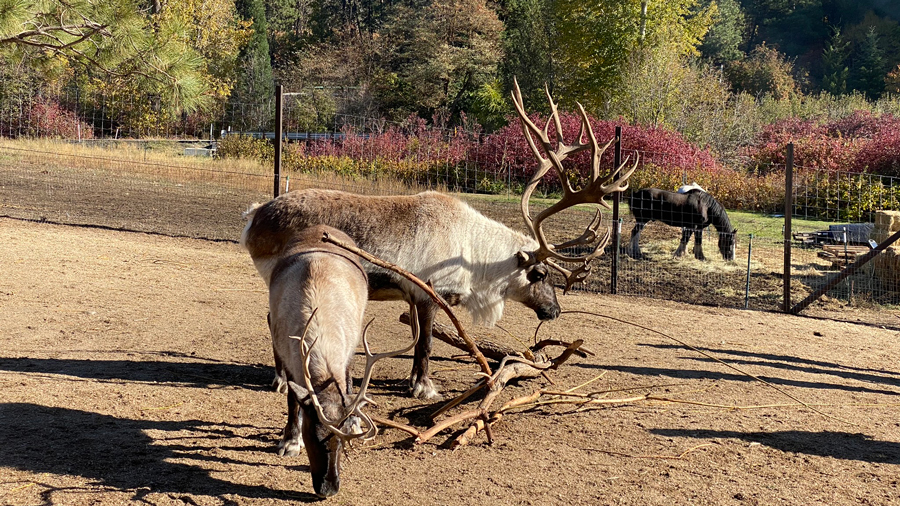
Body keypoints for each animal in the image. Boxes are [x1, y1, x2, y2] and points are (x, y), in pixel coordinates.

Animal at [241, 77, 636, 401]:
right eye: (540, 274)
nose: (554, 311)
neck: (474, 255)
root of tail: (255, 216)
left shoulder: (415, 298)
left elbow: (418, 341)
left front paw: (414, 382)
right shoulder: (429, 293)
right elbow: (427, 344)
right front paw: (423, 387)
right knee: (272, 319)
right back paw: (280, 380)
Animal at [257, 221, 417, 498]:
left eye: (341, 442)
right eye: (313, 436)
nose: (329, 488)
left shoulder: (349, 344)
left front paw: (352, 422)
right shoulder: (285, 349)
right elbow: (293, 401)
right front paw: (290, 441)